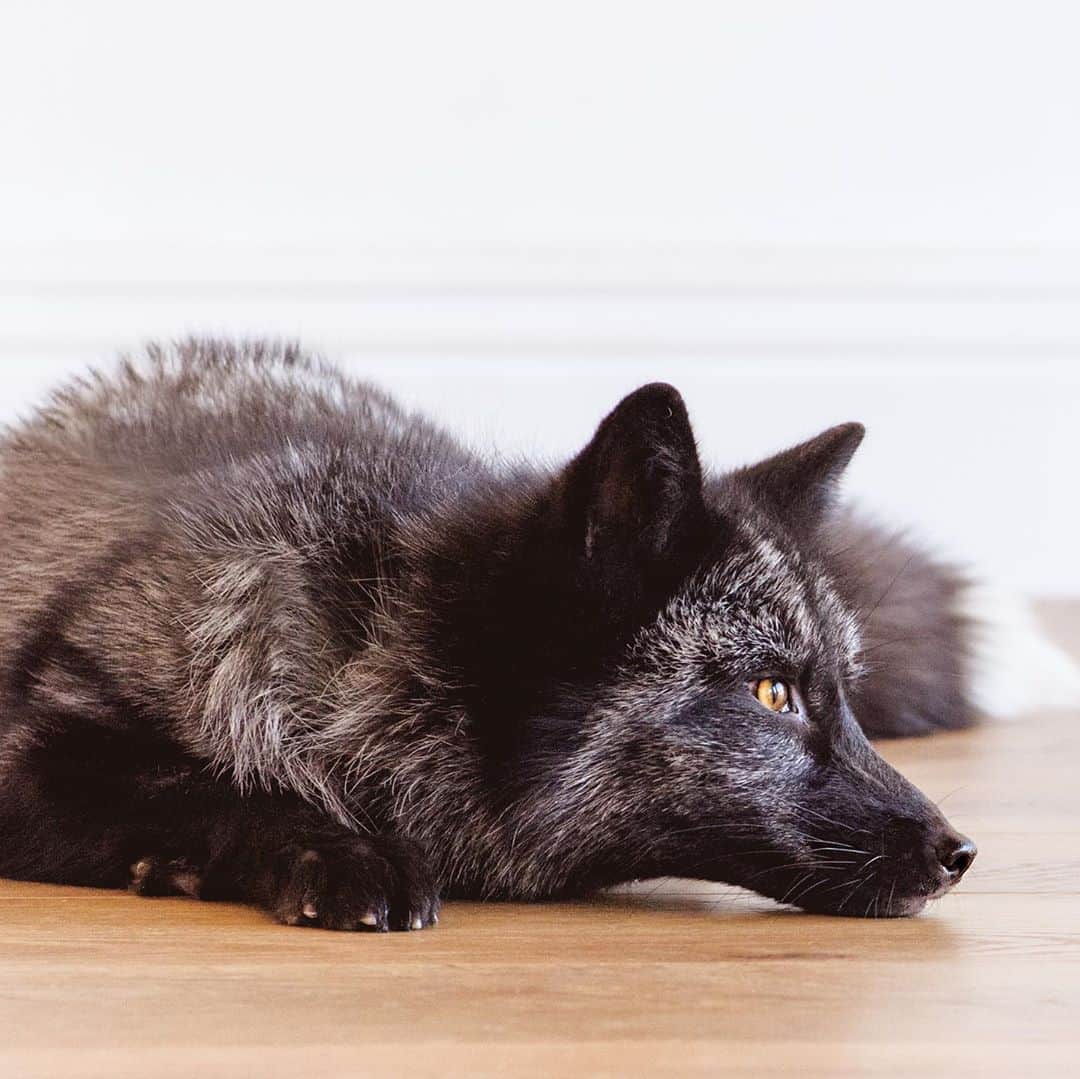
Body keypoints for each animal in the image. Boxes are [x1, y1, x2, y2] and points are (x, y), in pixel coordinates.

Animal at [0, 339, 976, 930]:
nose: (960, 852)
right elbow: (218, 788)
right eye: (773, 691)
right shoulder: (32, 752)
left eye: (845, 693)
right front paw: (335, 848)